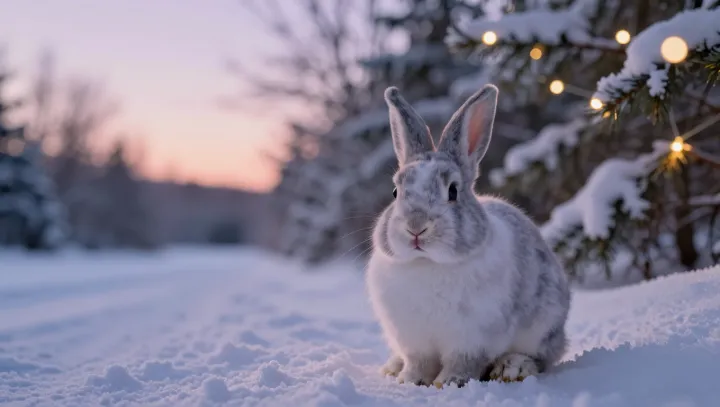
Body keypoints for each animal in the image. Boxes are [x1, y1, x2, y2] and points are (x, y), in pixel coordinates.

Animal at [365, 84, 570, 388]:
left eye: (453, 191)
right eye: (395, 192)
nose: (416, 227)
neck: (428, 264)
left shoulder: (471, 339)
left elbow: (463, 362)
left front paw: (449, 382)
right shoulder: (414, 340)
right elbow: (419, 362)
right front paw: (409, 381)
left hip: (544, 327)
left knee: (541, 357)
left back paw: (512, 368)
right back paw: (392, 367)